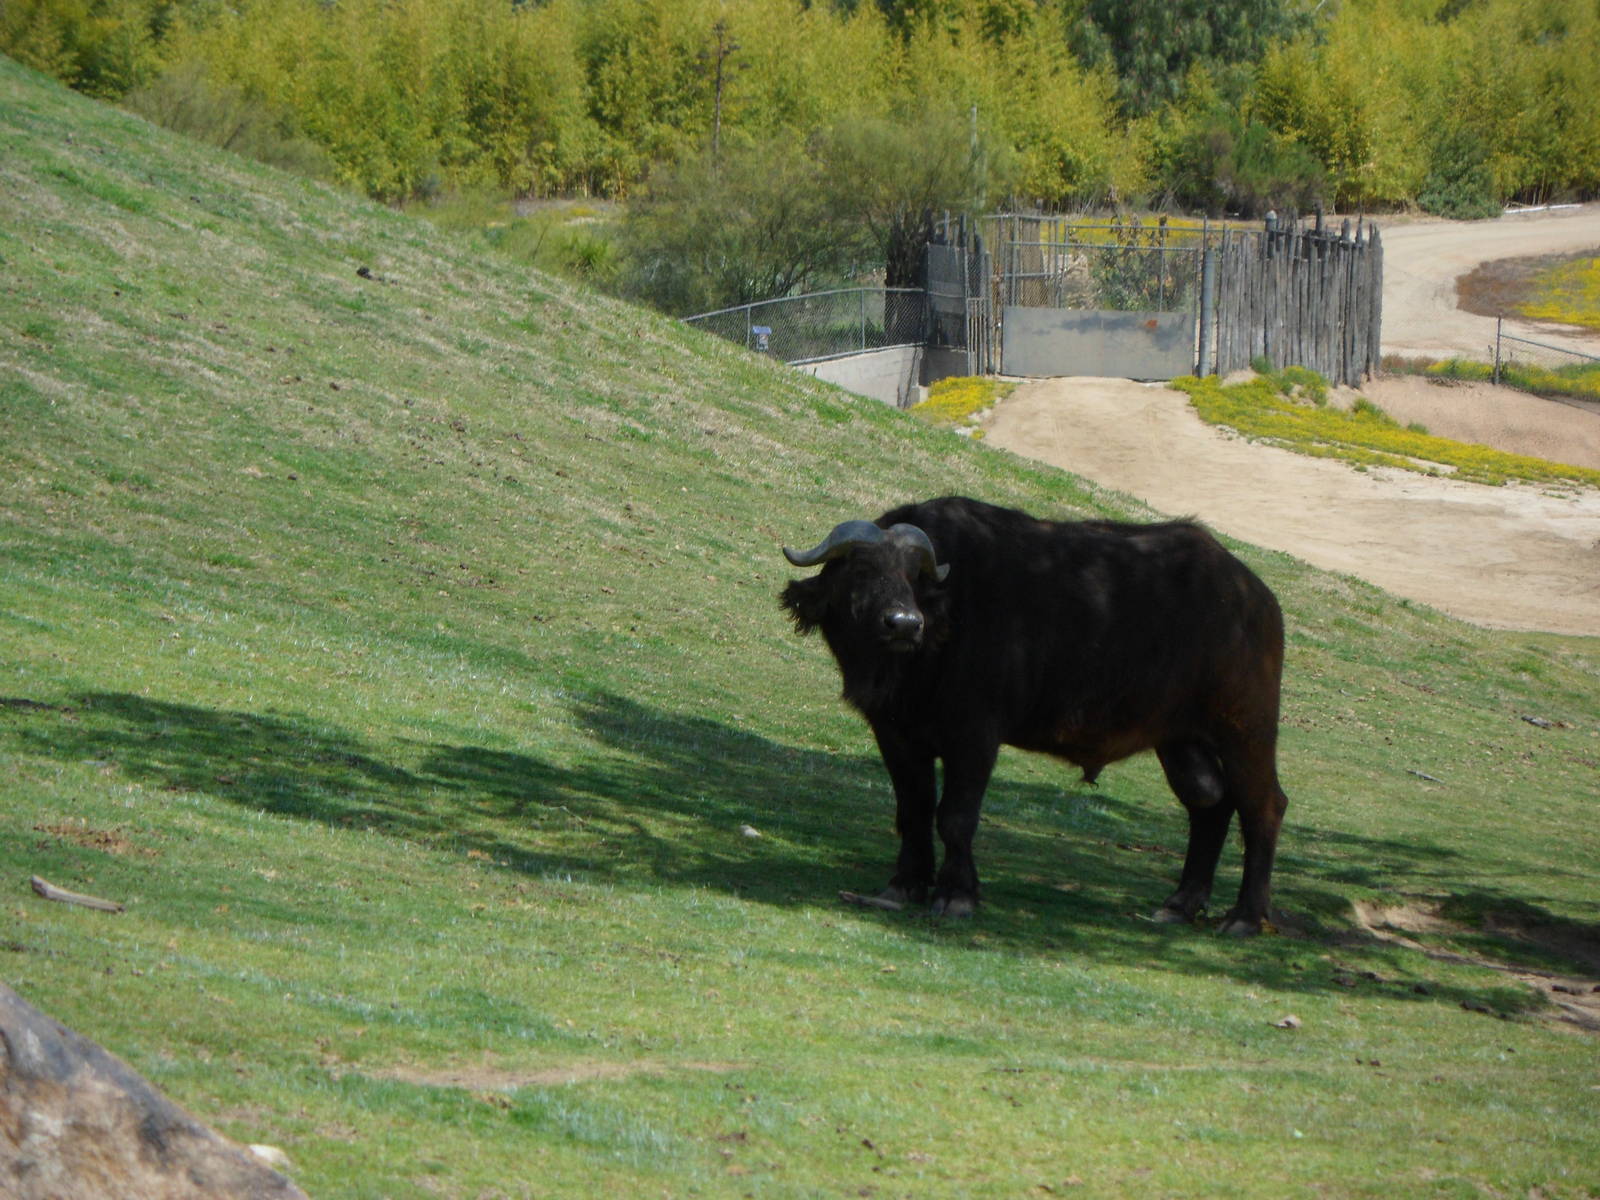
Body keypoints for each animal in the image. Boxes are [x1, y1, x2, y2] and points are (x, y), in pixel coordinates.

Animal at [780, 495, 1288, 934]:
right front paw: (904, 884)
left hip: (1246, 728)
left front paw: (956, 894)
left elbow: (956, 816)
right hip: (1180, 740)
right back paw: (1180, 904)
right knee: (1210, 804)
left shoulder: (975, 735)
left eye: (911, 575)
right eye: (862, 569)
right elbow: (914, 809)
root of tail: (1257, 599)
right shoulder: (895, 734)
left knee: (1263, 806)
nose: (904, 624)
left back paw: (1245, 917)